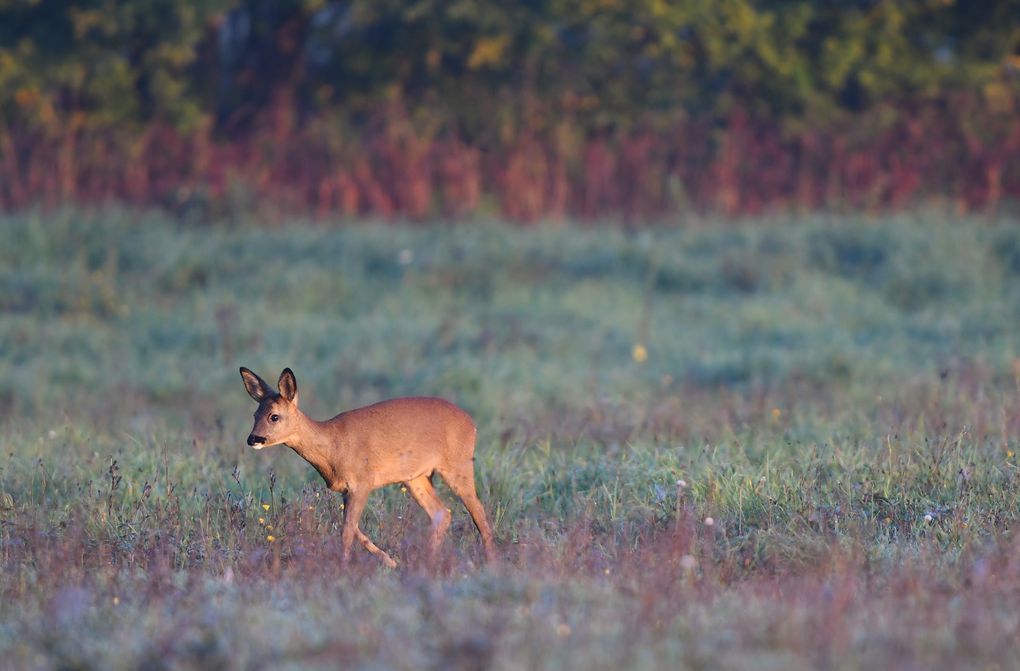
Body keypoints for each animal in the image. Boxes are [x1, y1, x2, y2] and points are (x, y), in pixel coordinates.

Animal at [238, 365, 493, 562]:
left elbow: (347, 531)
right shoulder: (347, 490)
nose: (253, 439)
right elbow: (352, 528)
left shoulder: (363, 482)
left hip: (457, 465)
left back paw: (490, 562)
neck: (333, 446)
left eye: (274, 416)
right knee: (442, 513)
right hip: (415, 478)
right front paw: (389, 561)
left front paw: (343, 567)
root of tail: (471, 423)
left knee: (478, 511)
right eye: (254, 415)